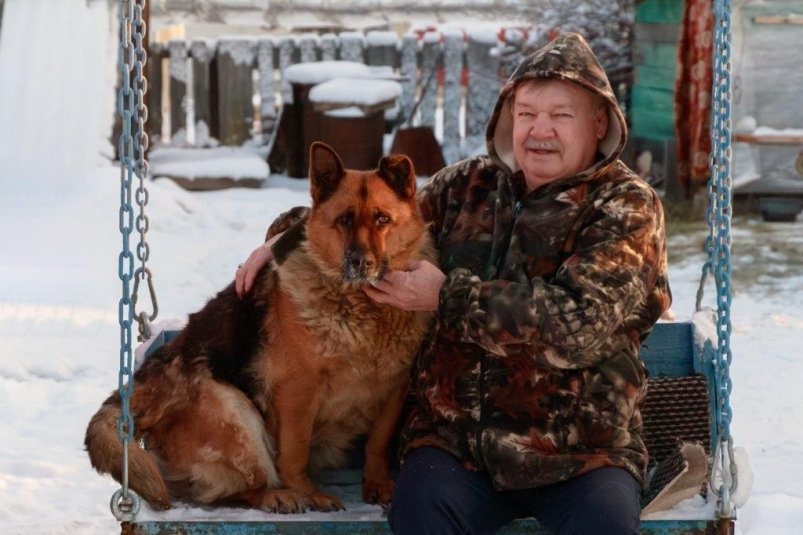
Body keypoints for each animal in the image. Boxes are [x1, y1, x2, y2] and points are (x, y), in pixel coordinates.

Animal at [85, 142, 436, 516]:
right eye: (344, 220)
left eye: (383, 219)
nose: (358, 262)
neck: (362, 308)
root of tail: (153, 376)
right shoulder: (297, 391)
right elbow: (295, 452)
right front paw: (308, 493)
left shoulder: (395, 389)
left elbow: (378, 444)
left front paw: (378, 484)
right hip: (235, 413)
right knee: (232, 488)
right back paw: (274, 494)